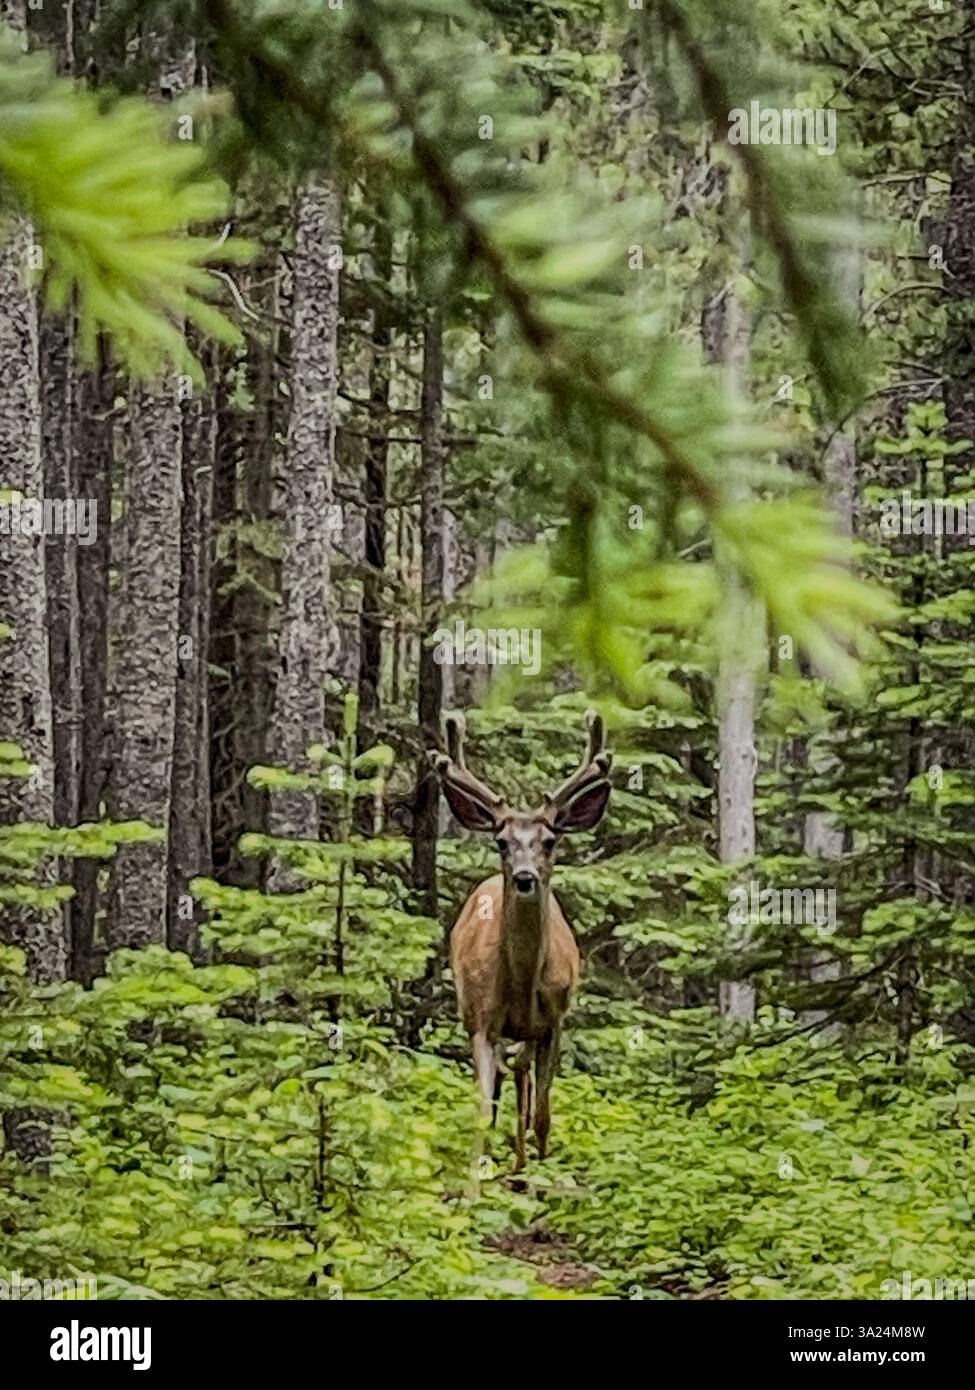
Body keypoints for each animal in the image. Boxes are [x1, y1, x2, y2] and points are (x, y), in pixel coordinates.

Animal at [430, 710, 611, 1175]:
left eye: (549, 841)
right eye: (501, 841)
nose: (525, 877)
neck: (522, 985)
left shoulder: (554, 1022)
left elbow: (544, 1114)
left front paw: (541, 1172)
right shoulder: (480, 1021)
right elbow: (482, 1109)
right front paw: (481, 1173)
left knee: (523, 1079)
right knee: (507, 1081)